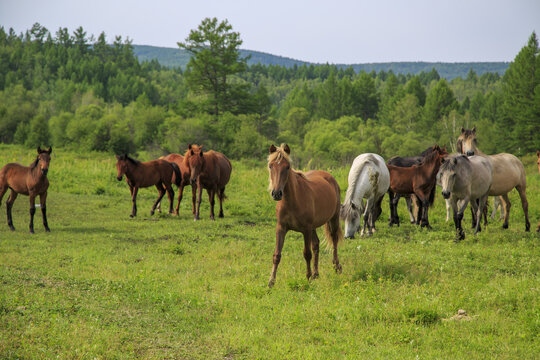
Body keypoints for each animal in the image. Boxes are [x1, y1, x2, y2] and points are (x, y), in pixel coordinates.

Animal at [268, 143, 344, 286]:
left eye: (287, 167)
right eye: (271, 166)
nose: (276, 193)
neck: (292, 201)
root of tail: (329, 177)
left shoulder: (306, 230)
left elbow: (307, 253)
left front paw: (307, 277)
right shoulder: (281, 228)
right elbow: (277, 254)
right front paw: (271, 281)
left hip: (333, 218)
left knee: (334, 240)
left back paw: (336, 267)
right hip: (314, 227)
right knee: (316, 245)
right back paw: (316, 274)